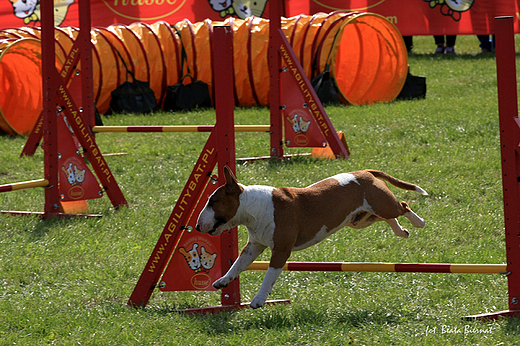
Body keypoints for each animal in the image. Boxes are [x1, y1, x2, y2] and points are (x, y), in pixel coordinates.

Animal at [195, 167, 426, 308]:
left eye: (213, 201)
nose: (197, 226)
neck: (253, 207)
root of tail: (365, 172)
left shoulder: (280, 251)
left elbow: (269, 277)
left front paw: (258, 300)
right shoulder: (253, 246)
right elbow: (237, 264)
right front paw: (223, 280)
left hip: (381, 204)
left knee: (403, 206)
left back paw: (419, 222)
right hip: (361, 219)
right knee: (389, 218)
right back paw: (401, 231)